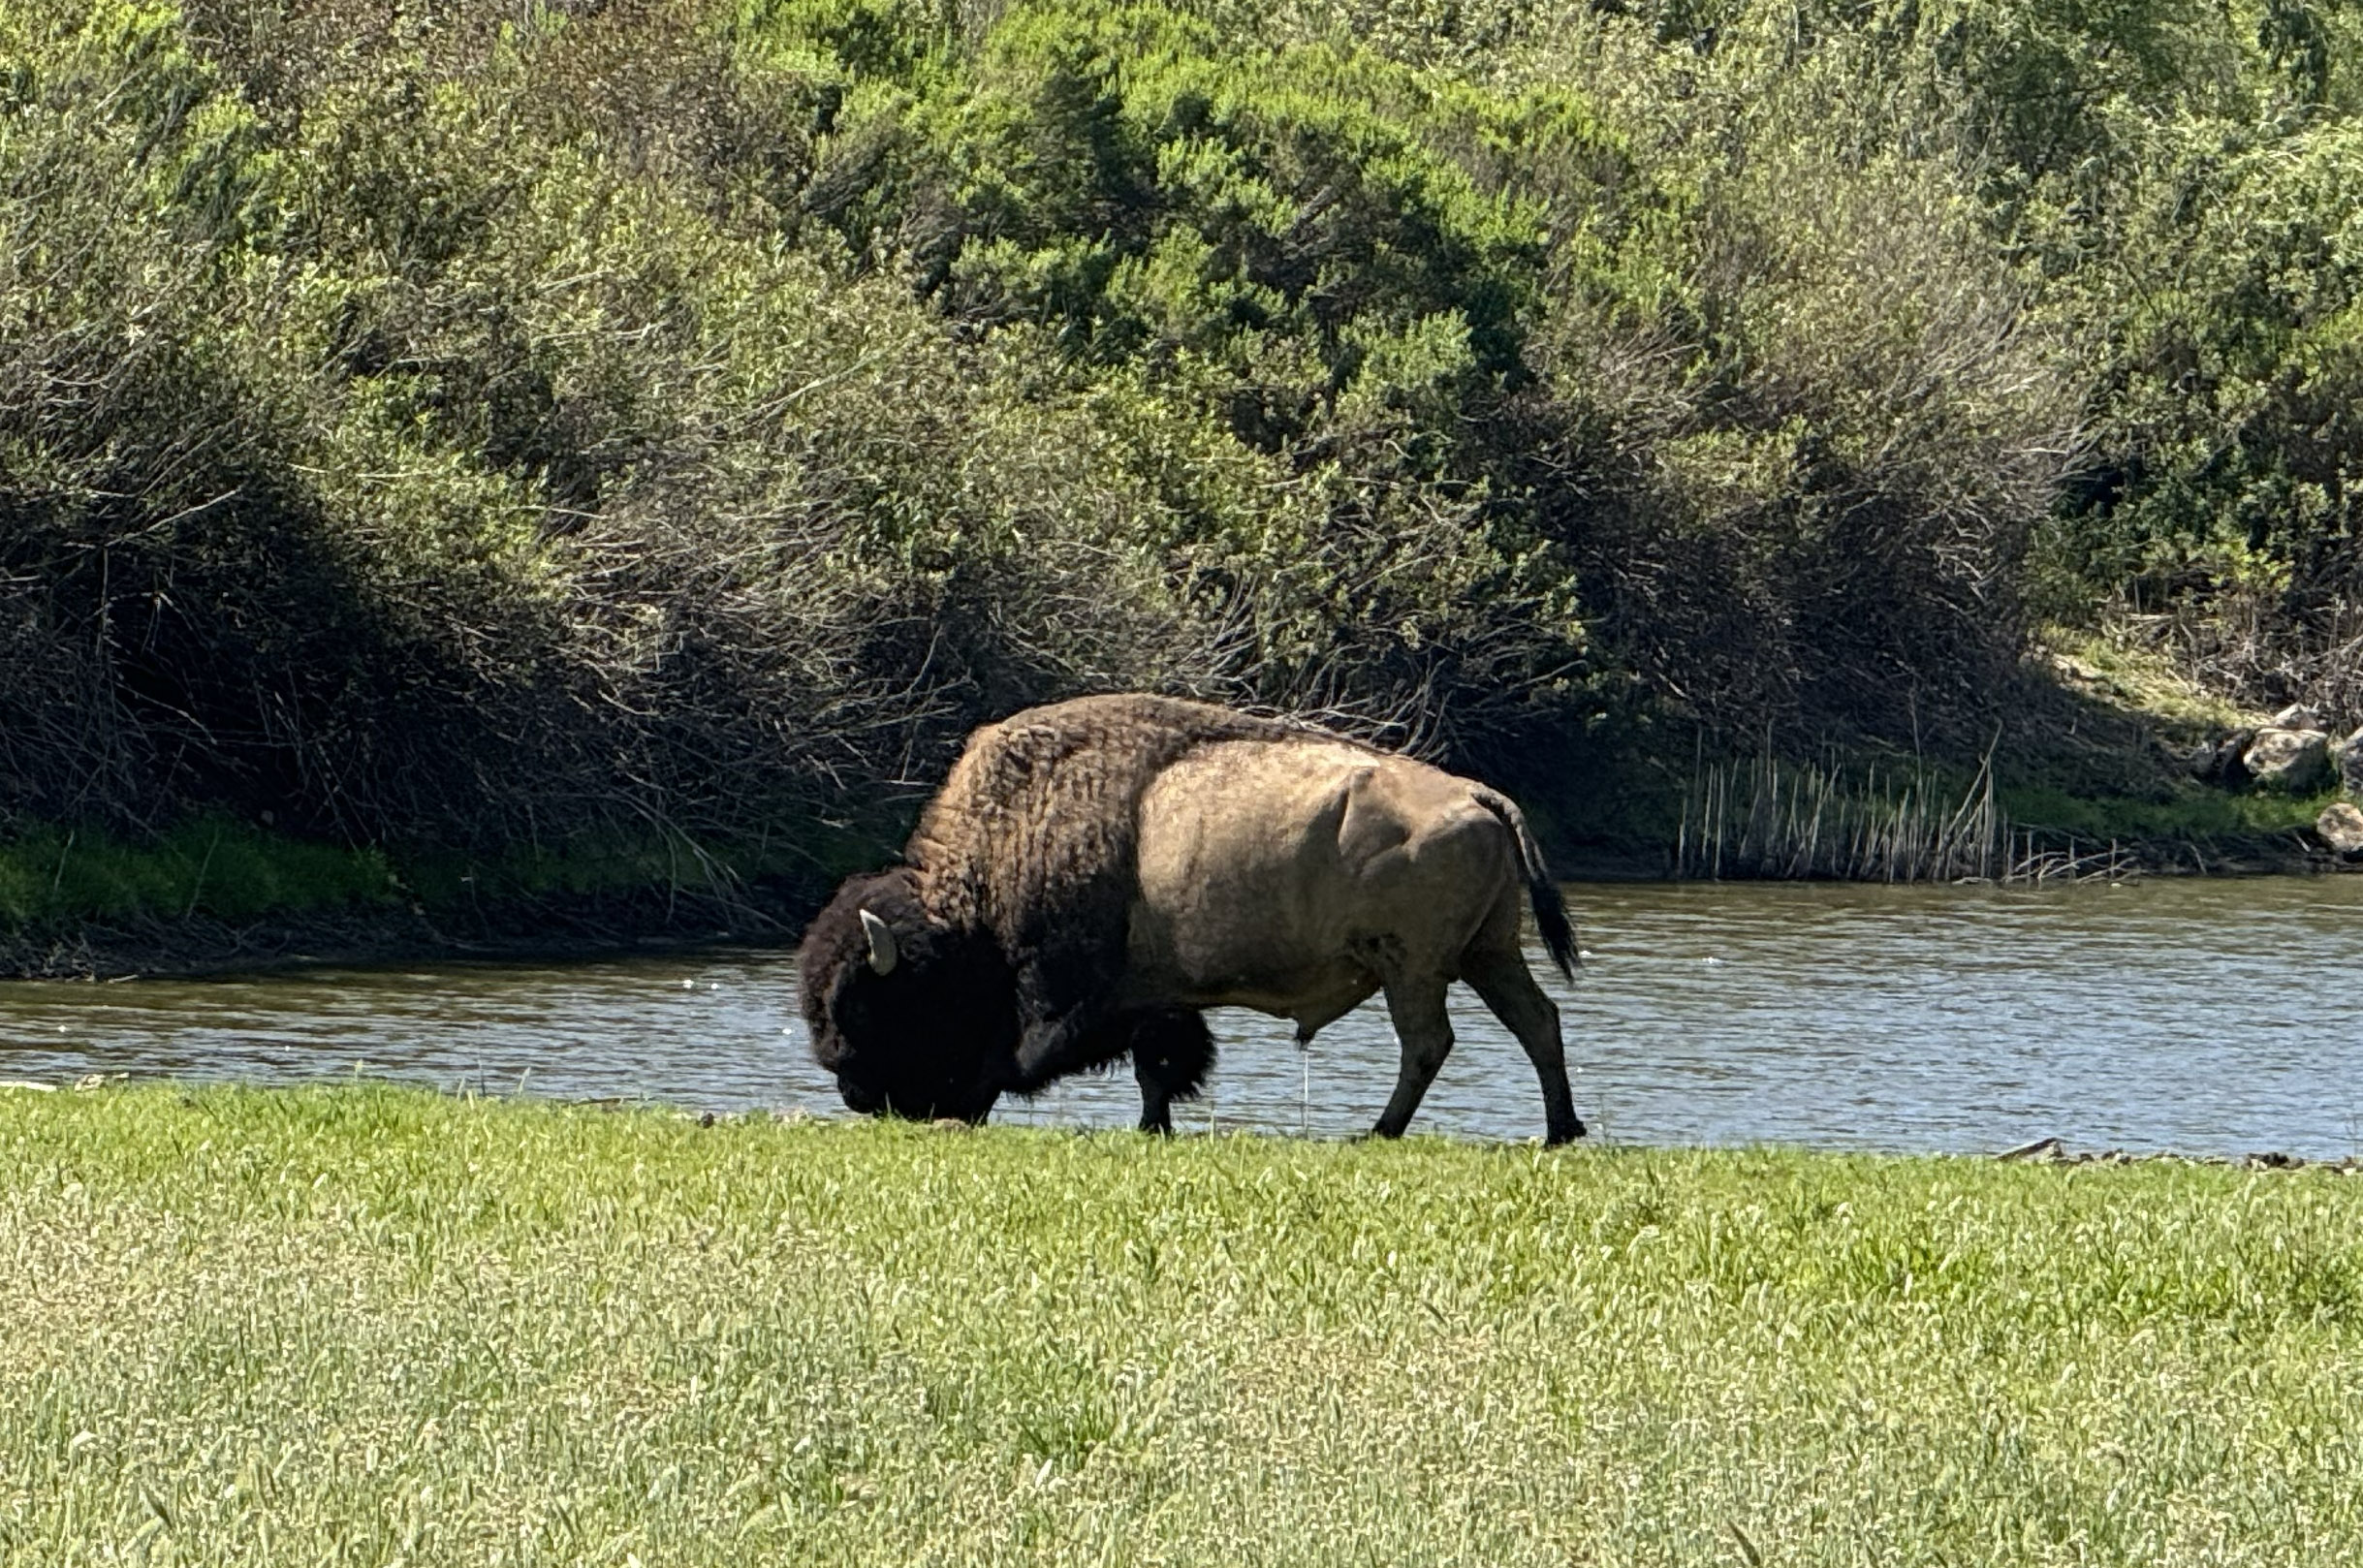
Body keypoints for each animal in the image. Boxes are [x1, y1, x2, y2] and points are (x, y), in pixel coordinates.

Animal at [799, 694, 1584, 1143]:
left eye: (870, 1006)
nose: (854, 1093)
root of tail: (1478, 795)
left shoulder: (1075, 998)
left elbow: (1034, 1055)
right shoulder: (1157, 997)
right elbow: (1159, 1066)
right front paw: (1155, 1127)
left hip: (1412, 967)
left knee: (1428, 1043)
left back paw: (1379, 1132)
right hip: (1487, 955)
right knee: (1537, 1021)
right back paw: (1559, 1131)